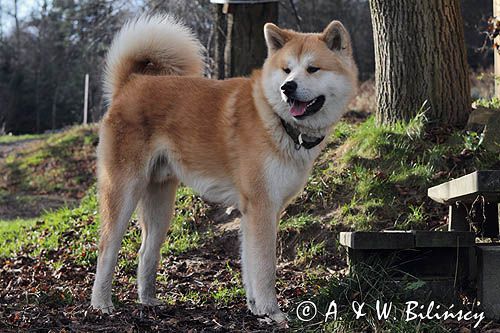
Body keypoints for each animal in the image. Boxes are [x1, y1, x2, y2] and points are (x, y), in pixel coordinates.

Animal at [89, 13, 356, 322]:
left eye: (313, 69)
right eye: (287, 70)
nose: (287, 87)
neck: (275, 119)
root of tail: (131, 83)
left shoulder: (261, 211)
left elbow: (251, 267)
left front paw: (256, 308)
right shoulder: (261, 207)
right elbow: (265, 268)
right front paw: (272, 312)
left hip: (160, 204)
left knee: (146, 252)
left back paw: (148, 301)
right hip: (123, 191)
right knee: (106, 249)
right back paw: (101, 303)